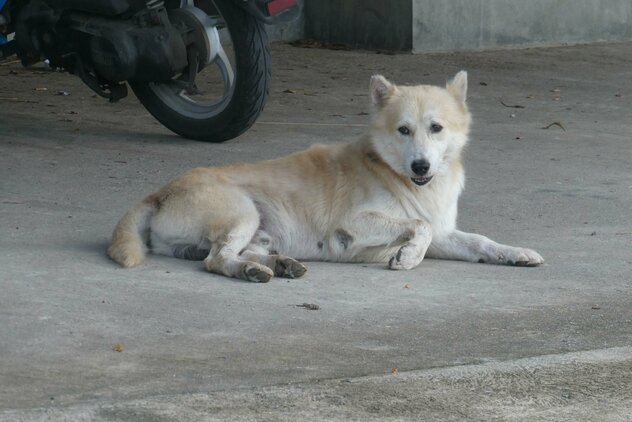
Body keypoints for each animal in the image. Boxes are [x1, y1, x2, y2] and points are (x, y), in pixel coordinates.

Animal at [107, 71, 544, 282]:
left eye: (436, 128)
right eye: (403, 130)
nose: (421, 167)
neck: (395, 174)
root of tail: (158, 193)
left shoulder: (444, 234)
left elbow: (480, 241)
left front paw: (515, 253)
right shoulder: (354, 224)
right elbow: (416, 226)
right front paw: (406, 258)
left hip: (258, 229)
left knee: (233, 253)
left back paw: (279, 264)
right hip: (243, 211)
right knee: (217, 260)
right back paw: (251, 272)